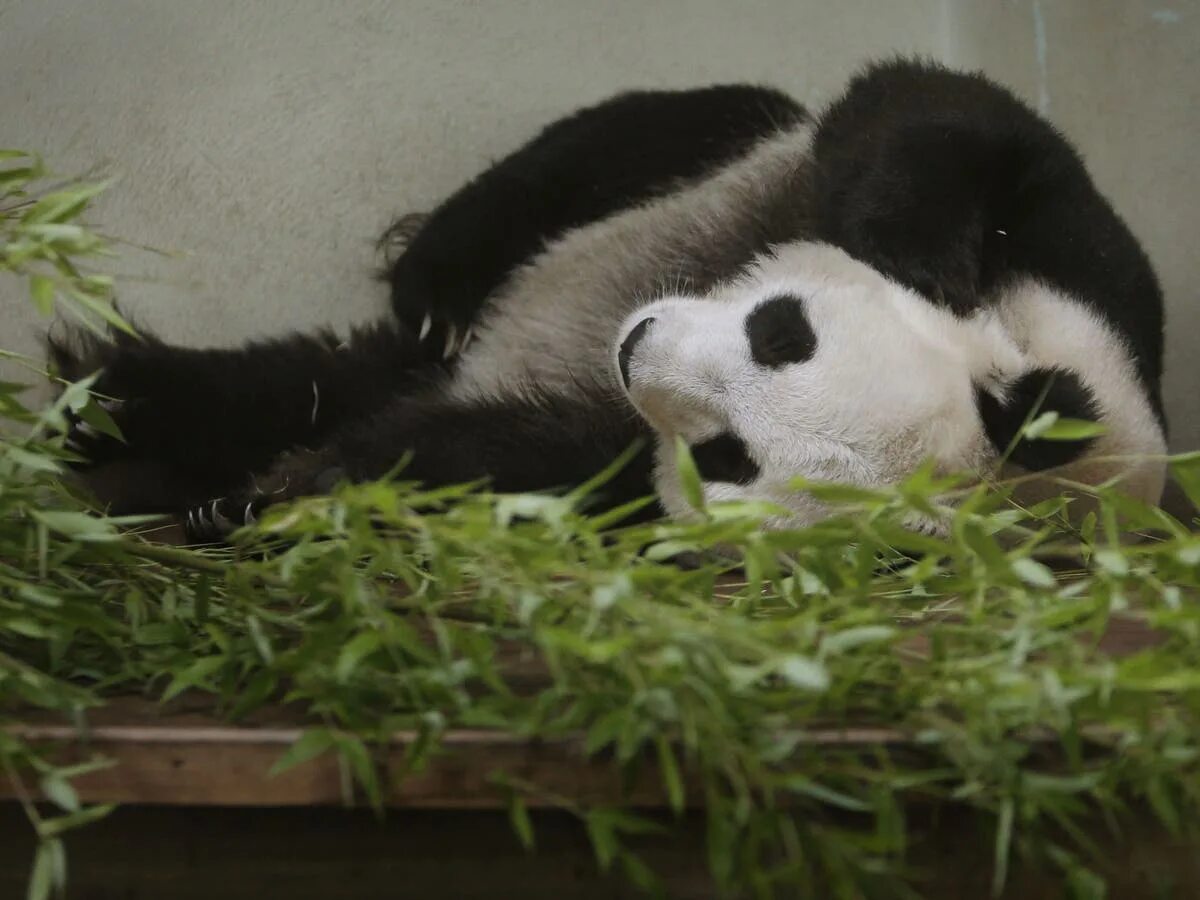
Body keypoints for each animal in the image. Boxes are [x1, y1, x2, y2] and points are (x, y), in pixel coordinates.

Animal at [51, 61, 1166, 542]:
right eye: (783, 331)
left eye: (730, 460)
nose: (639, 352)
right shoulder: (1082, 265)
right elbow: (941, 114)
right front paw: (915, 260)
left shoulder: (609, 460)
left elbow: (518, 464)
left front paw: (303, 487)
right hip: (698, 159)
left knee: (307, 380)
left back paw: (138, 442)